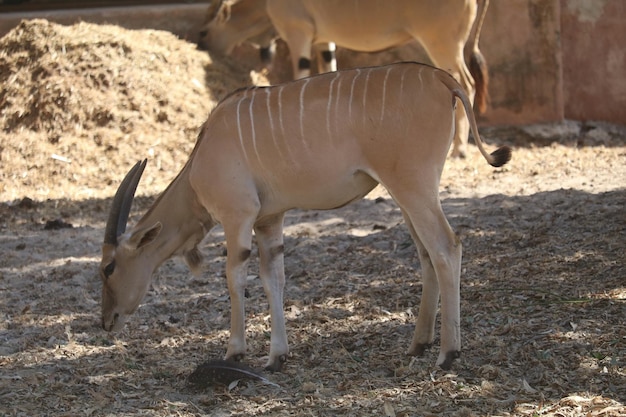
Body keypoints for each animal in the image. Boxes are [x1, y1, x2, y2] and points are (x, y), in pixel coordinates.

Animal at [100, 62, 510, 370]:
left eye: (108, 267)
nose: (107, 321)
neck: (201, 157)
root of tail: (442, 78)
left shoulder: (238, 218)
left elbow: (235, 279)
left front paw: (235, 352)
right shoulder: (269, 221)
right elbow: (274, 280)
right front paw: (277, 357)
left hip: (413, 186)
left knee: (446, 247)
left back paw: (448, 353)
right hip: (406, 193)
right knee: (427, 253)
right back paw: (418, 344)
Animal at [199, 0, 488, 158]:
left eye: (204, 32)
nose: (201, 45)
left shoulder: (299, 34)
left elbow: (301, 75)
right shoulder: (323, 41)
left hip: (441, 43)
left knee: (466, 83)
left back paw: (459, 149)